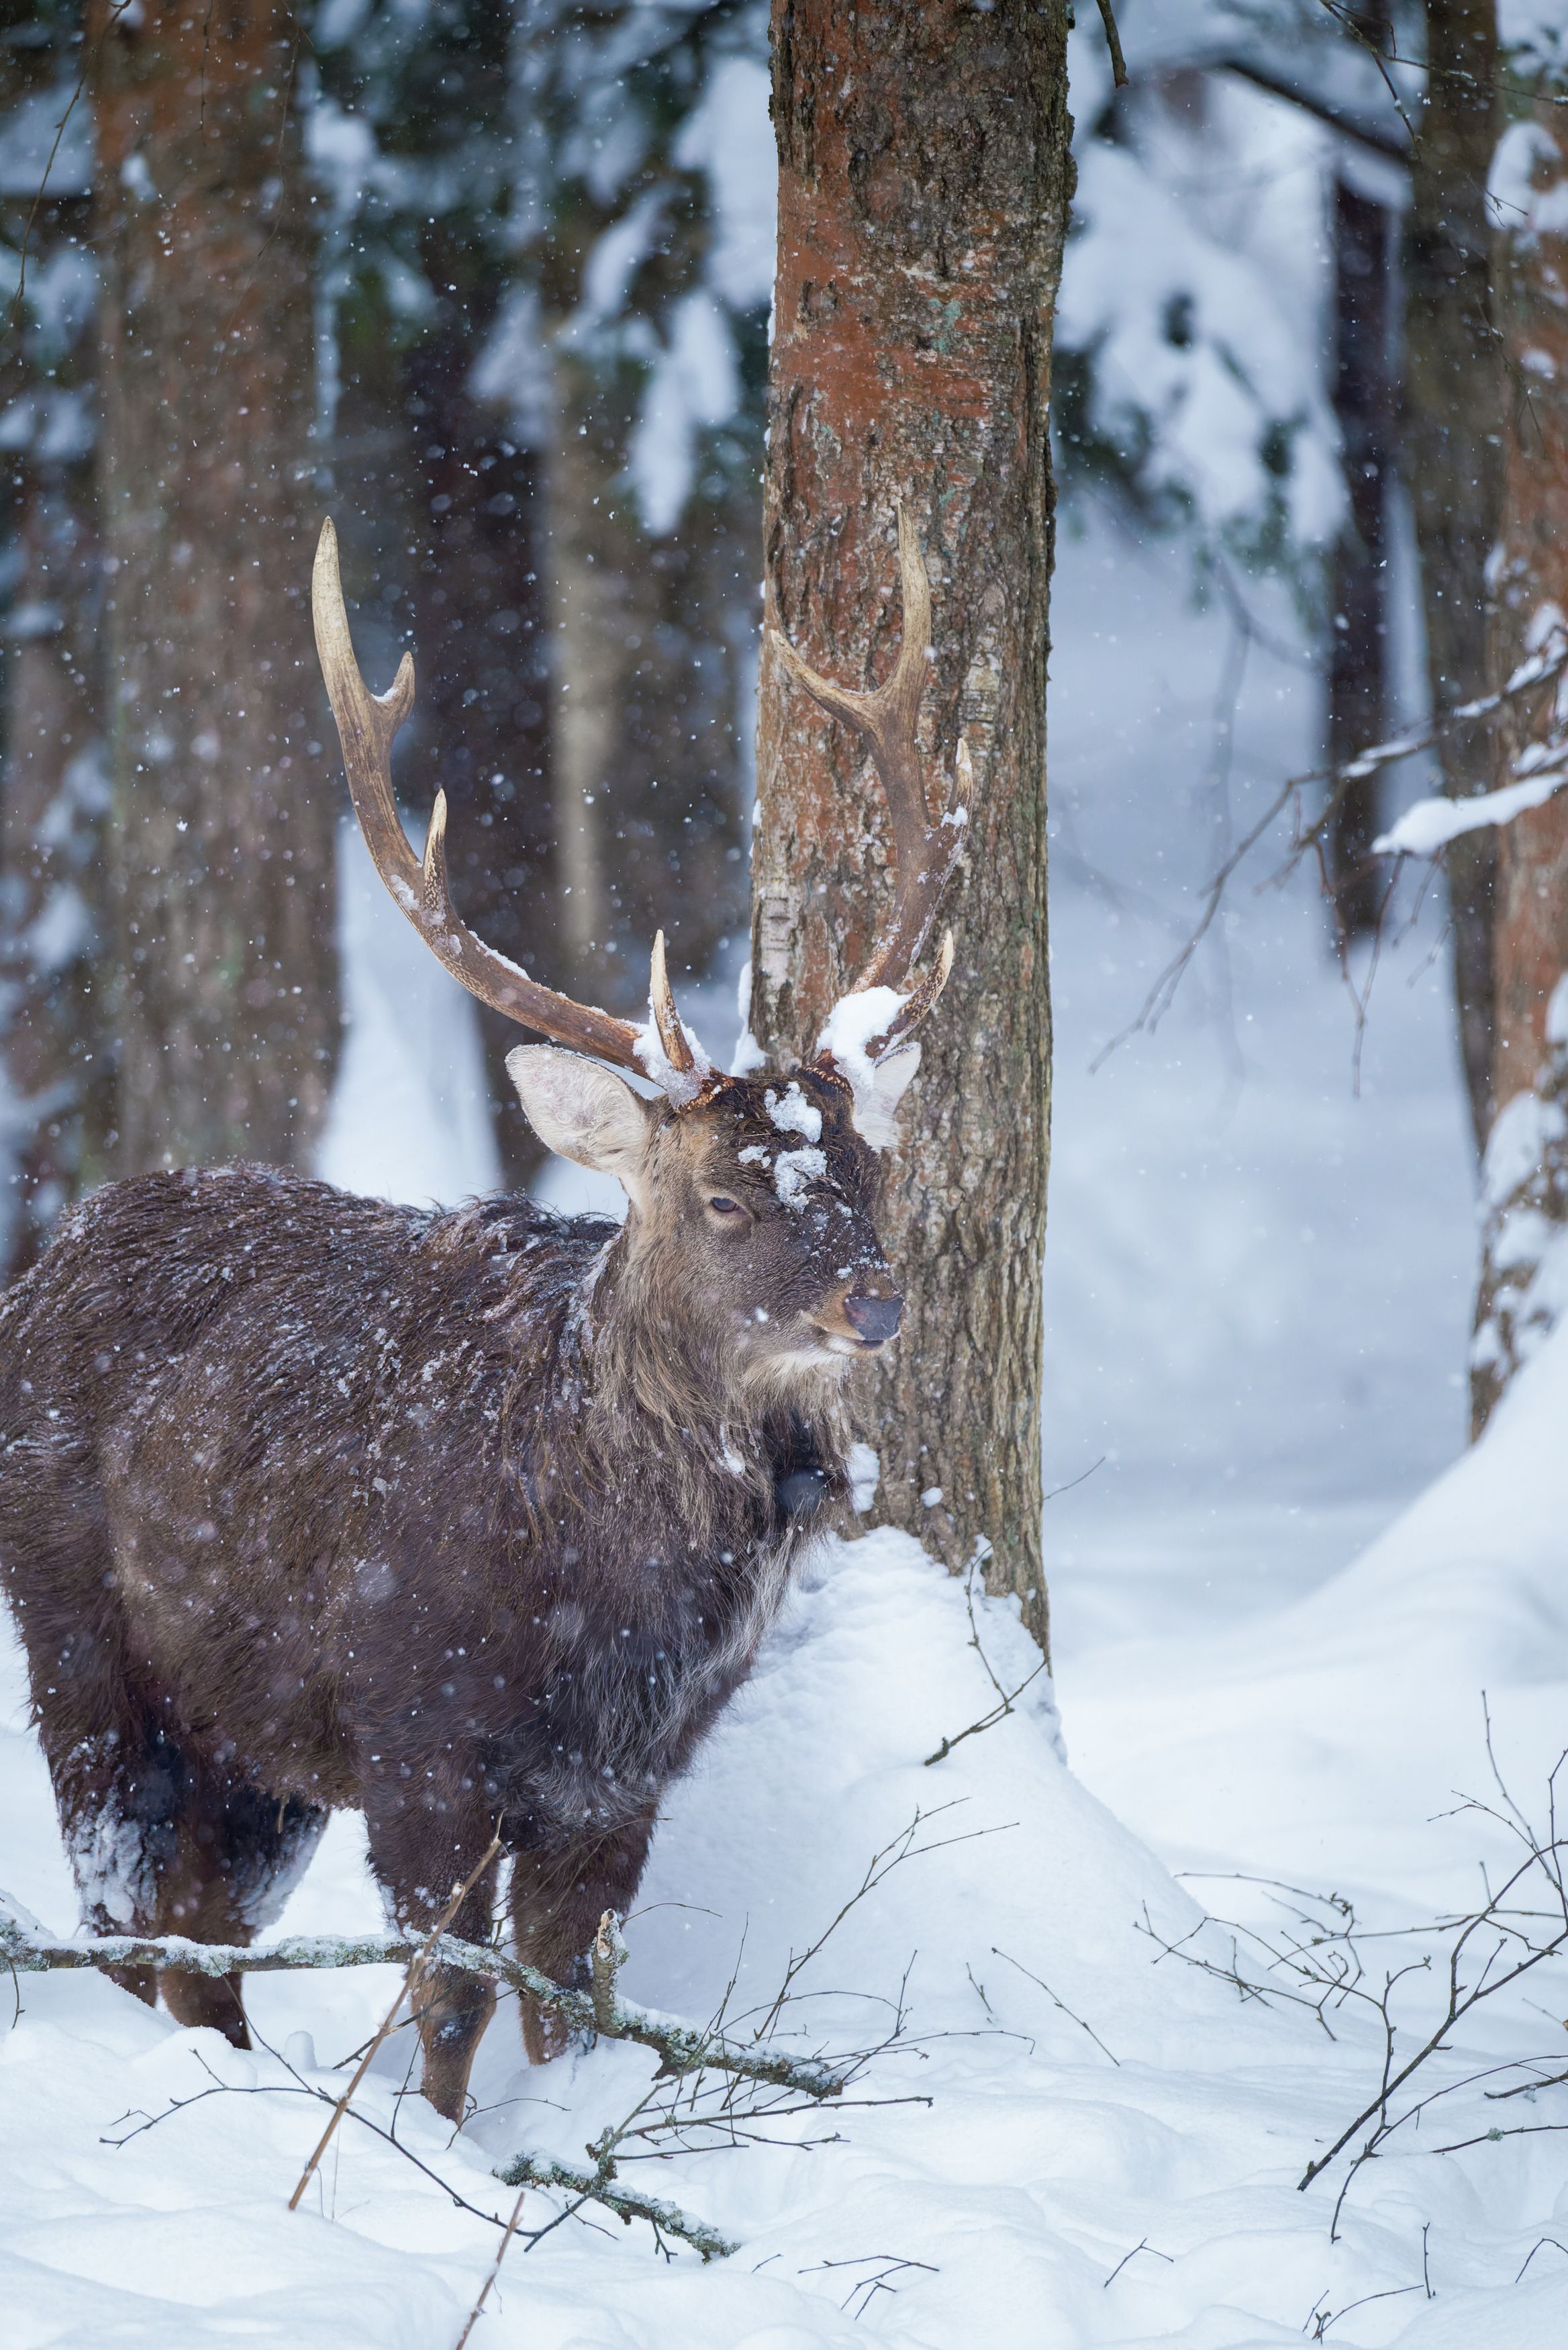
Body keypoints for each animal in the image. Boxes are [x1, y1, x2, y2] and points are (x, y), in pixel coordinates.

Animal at [0, 509, 969, 2119]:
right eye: (723, 1198)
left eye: (868, 1172)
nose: (876, 1300)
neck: (605, 1606)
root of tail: (45, 1249)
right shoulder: (419, 1738)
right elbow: (449, 2004)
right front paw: (434, 2157)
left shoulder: (619, 1784)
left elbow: (572, 2003)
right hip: (81, 1641)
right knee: (124, 1912)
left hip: (250, 1741)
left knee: (203, 1935)